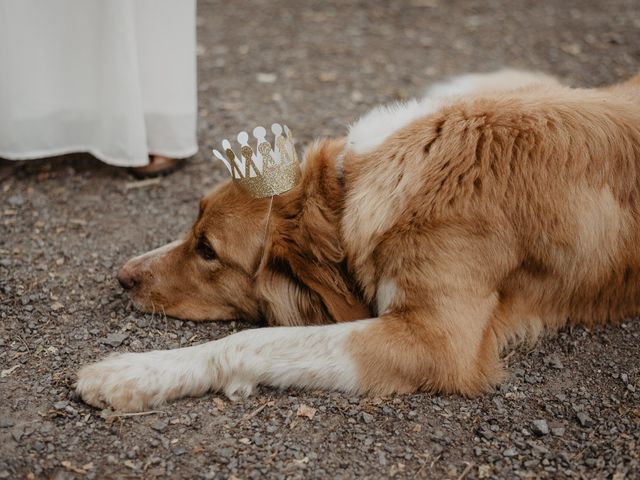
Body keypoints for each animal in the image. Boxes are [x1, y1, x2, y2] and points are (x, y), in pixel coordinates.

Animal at [76, 69, 640, 410]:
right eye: (192, 226)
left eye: (208, 250)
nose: (122, 276)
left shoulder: (437, 341)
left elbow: (254, 339)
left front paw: (132, 373)